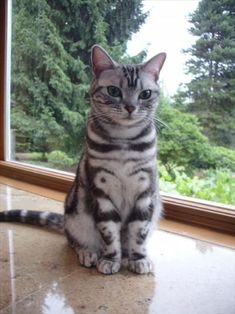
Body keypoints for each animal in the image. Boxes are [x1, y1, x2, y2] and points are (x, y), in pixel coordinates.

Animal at [0, 44, 166, 274]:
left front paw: (139, 258)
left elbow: (139, 231)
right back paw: (89, 253)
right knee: (73, 241)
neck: (123, 141)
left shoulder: (145, 189)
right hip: (76, 218)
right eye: (113, 91)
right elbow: (109, 231)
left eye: (145, 94)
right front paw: (110, 259)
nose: (131, 107)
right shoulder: (101, 188)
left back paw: (125, 257)